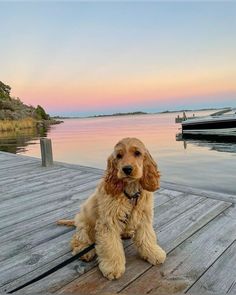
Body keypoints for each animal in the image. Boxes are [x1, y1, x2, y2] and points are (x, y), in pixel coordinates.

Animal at [57, 138, 166, 280]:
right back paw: (84, 251)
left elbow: (146, 237)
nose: (127, 169)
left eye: (137, 153)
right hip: (84, 223)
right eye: (119, 156)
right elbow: (111, 246)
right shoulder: (108, 222)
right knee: (78, 239)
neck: (130, 192)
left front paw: (154, 253)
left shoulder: (144, 217)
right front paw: (113, 268)